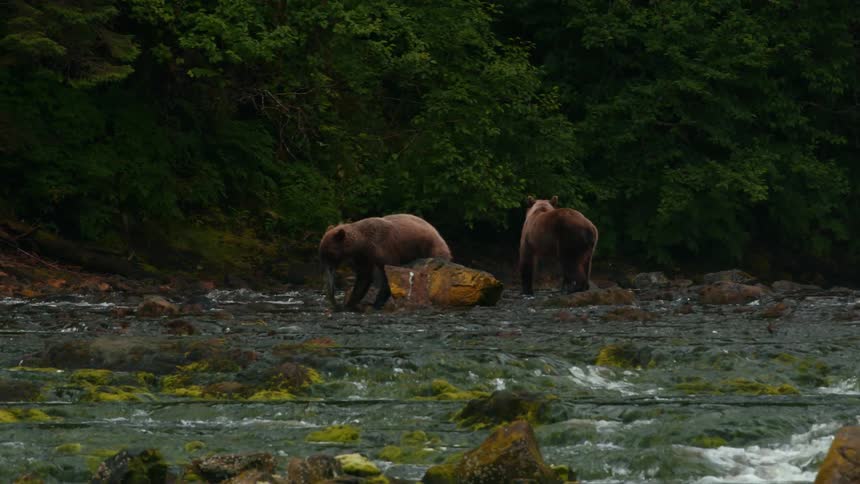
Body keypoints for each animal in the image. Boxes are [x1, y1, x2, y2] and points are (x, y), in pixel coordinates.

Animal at [319, 214, 452, 310]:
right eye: (321, 255)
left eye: (330, 254)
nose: (328, 269)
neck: (362, 243)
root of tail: (438, 233)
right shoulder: (363, 258)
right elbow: (363, 278)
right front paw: (349, 304)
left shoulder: (384, 249)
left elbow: (388, 275)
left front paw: (376, 303)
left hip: (431, 249)